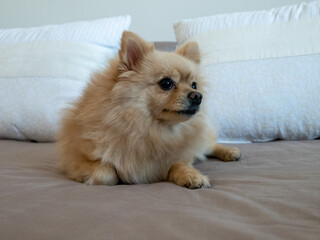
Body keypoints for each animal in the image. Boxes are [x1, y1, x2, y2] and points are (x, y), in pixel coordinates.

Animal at [58, 31, 241, 189]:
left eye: (194, 85)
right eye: (166, 83)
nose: (198, 96)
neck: (149, 129)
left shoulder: (177, 157)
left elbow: (178, 164)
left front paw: (191, 175)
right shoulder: (75, 161)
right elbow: (107, 173)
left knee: (209, 145)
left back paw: (230, 152)